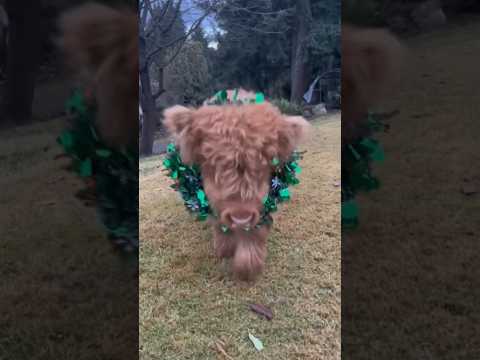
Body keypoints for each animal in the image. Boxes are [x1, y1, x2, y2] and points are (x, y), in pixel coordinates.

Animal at [163, 101, 310, 282]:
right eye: (212, 164)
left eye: (264, 164)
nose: (241, 217)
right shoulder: (210, 202)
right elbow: (220, 225)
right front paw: (224, 250)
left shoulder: (263, 207)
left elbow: (252, 235)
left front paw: (247, 269)